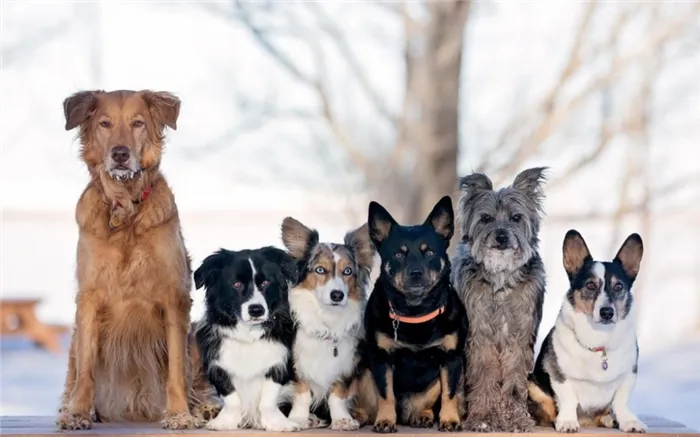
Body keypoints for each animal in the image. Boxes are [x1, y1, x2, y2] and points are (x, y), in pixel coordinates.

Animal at [56, 88, 217, 430]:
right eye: (105, 124)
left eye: (138, 123)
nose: (120, 154)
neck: (125, 209)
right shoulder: (88, 298)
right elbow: (85, 371)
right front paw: (78, 413)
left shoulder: (174, 297)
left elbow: (177, 371)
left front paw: (180, 414)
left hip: (196, 335)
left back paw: (203, 409)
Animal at [352, 198, 468, 432]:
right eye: (399, 253)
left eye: (429, 252)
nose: (416, 273)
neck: (416, 312)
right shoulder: (381, 358)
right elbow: (386, 394)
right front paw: (385, 421)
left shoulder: (451, 358)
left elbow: (450, 394)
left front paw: (450, 420)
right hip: (365, 373)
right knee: (368, 405)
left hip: (434, 383)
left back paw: (422, 416)